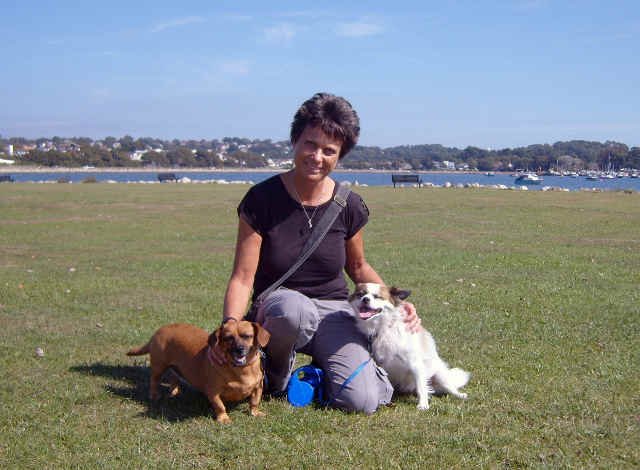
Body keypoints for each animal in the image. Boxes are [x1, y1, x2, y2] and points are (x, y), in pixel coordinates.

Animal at [127, 322, 270, 424]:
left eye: (247, 336)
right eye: (228, 338)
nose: (239, 349)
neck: (241, 369)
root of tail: (159, 330)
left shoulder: (258, 387)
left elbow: (254, 401)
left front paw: (255, 413)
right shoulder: (213, 392)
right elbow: (220, 406)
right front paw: (223, 418)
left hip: (174, 367)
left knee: (173, 376)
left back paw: (174, 391)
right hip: (159, 366)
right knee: (154, 381)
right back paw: (154, 395)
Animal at [350, 280, 470, 410]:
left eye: (377, 296)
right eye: (360, 294)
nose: (365, 299)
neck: (383, 328)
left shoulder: (415, 364)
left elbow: (421, 387)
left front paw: (423, 405)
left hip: (440, 375)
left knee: (449, 387)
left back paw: (459, 395)